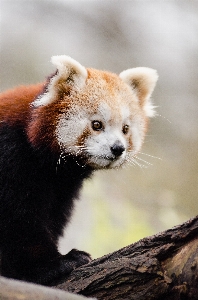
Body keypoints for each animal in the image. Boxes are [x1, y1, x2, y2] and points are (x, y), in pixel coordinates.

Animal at [0, 55, 158, 284]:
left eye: (125, 129)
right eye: (97, 124)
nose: (117, 148)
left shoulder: (62, 187)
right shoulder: (11, 157)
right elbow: (19, 219)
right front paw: (53, 264)